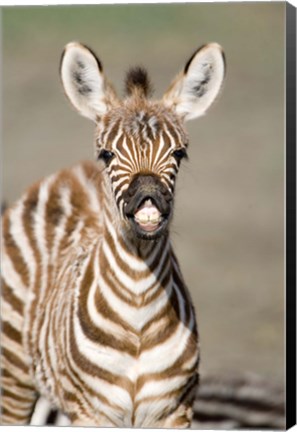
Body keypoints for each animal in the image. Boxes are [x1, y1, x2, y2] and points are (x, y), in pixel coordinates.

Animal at [0, 42, 224, 426]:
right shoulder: (92, 411)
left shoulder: (174, 411)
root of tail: (70, 172)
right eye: (107, 154)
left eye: (179, 153)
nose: (148, 196)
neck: (138, 307)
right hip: (13, 374)